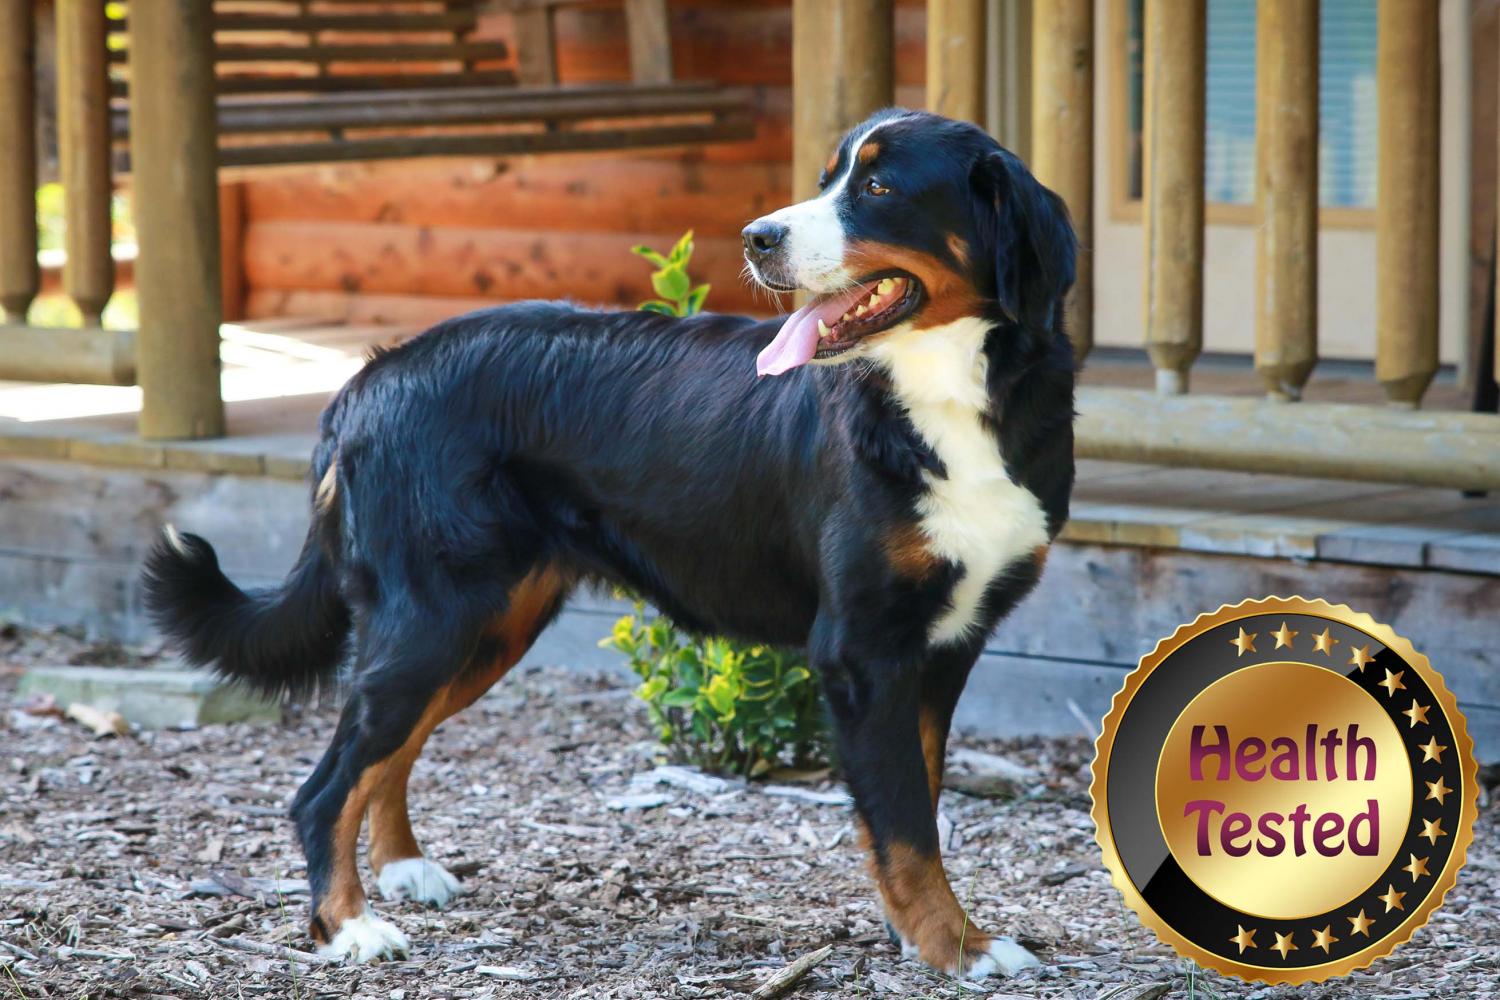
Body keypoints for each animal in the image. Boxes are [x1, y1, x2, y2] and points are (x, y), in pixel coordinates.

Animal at [143, 109, 1080, 977]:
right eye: (829, 180)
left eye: (878, 188)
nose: (758, 237)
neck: (947, 400)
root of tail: (373, 374)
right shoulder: (863, 651)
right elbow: (906, 823)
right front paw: (959, 946)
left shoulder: (945, 645)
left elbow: (910, 806)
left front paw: (915, 931)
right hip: (433, 620)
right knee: (325, 786)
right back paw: (348, 926)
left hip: (482, 629)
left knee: (386, 755)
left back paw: (404, 869)